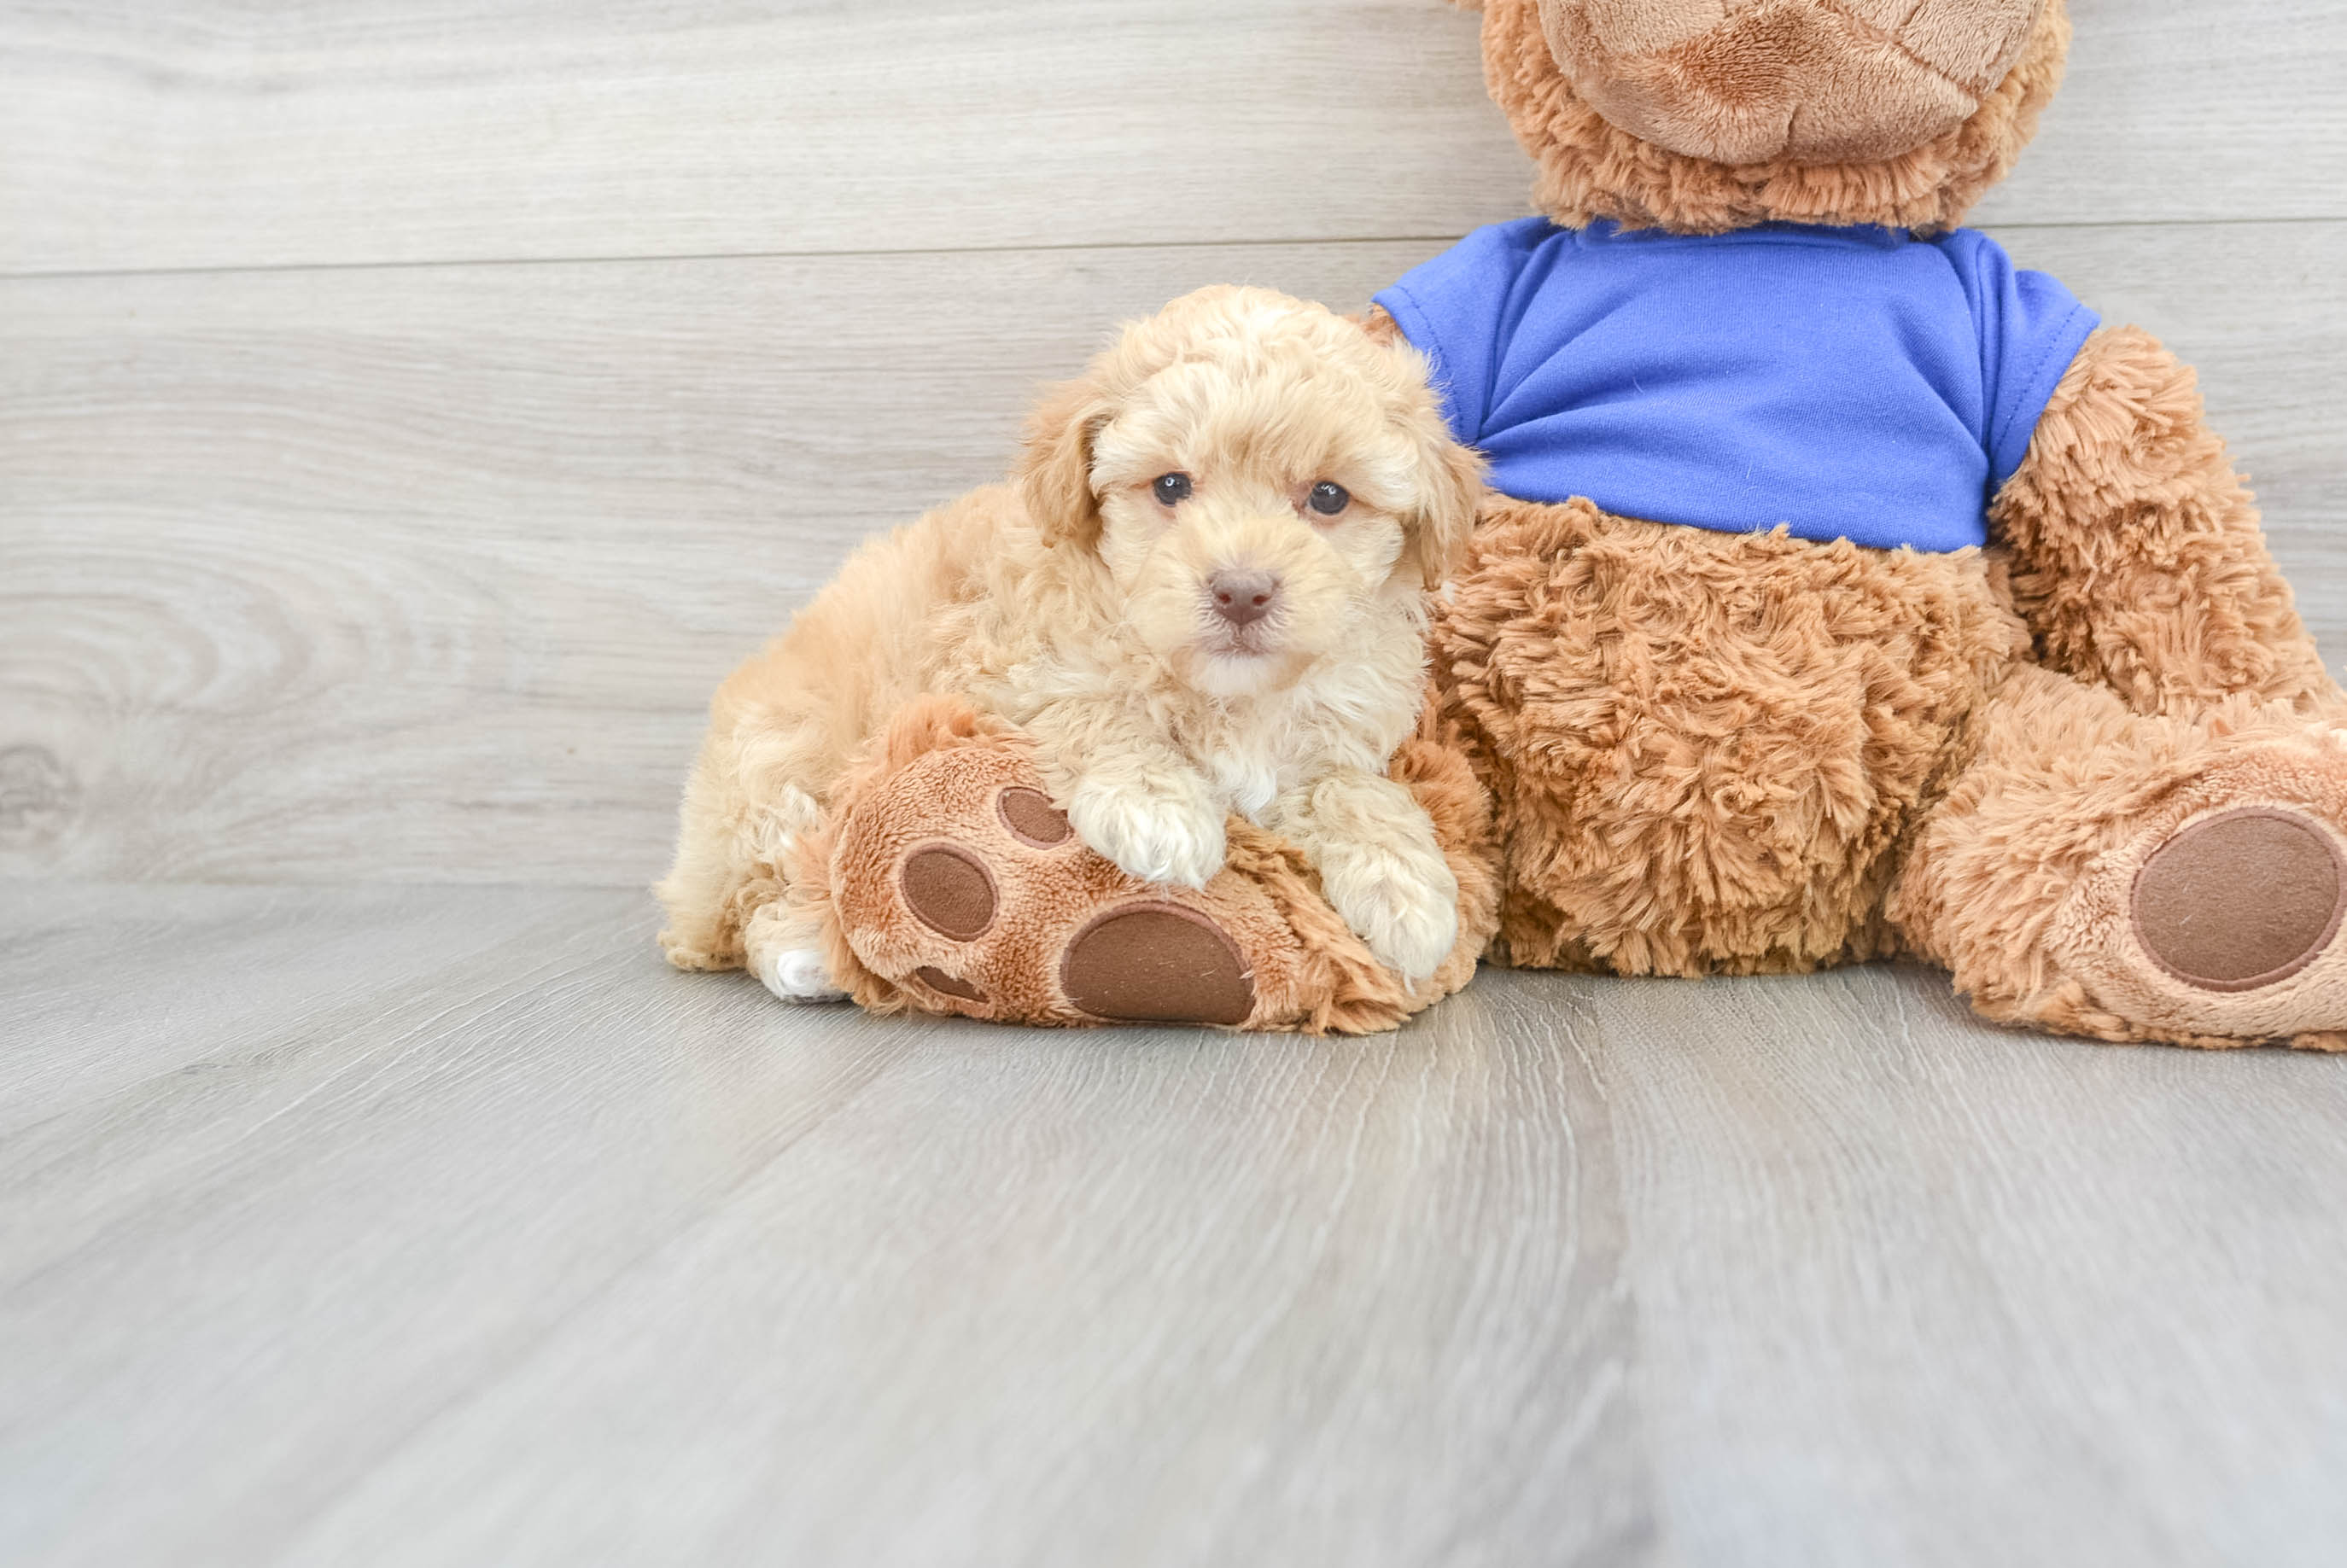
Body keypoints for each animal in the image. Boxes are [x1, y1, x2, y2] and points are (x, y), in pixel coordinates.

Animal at [652, 286, 1474, 1005]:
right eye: (1170, 486)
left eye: (1328, 496)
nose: (1241, 591)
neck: (1224, 691)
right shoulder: (1002, 675)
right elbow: (1093, 708)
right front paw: (1158, 805)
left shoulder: (1325, 738)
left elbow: (1351, 787)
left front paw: (1407, 890)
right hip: (777, 763)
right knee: (764, 887)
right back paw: (801, 951)